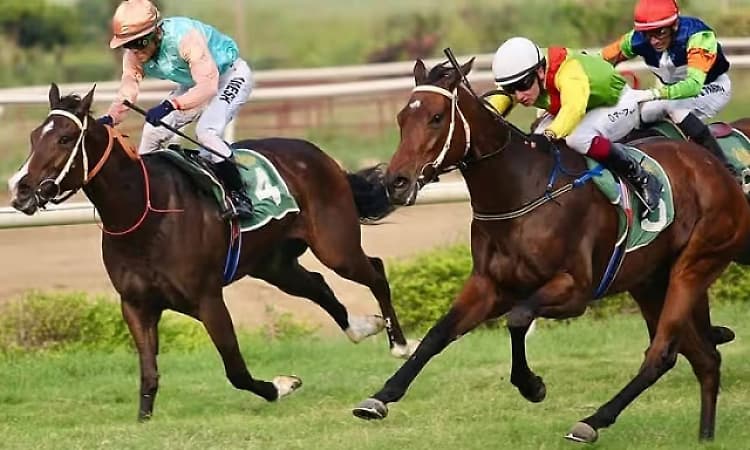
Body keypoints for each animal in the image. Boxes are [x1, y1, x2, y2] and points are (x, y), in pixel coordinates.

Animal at [8, 84, 416, 421]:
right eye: (33, 136)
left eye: (64, 138)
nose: (21, 188)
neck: (145, 213)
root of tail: (320, 156)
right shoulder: (136, 304)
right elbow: (148, 372)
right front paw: (143, 420)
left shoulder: (208, 299)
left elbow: (235, 369)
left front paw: (282, 386)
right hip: (275, 264)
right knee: (317, 285)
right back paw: (362, 328)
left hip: (336, 247)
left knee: (375, 270)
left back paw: (399, 343)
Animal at [352, 59, 750, 443]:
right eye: (402, 118)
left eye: (436, 117)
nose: (396, 181)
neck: (520, 192)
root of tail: (716, 167)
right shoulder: (489, 286)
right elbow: (437, 334)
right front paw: (380, 397)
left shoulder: (574, 291)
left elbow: (517, 319)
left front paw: (531, 385)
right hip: (651, 281)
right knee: (702, 356)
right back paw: (704, 434)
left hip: (695, 265)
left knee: (662, 353)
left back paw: (591, 422)